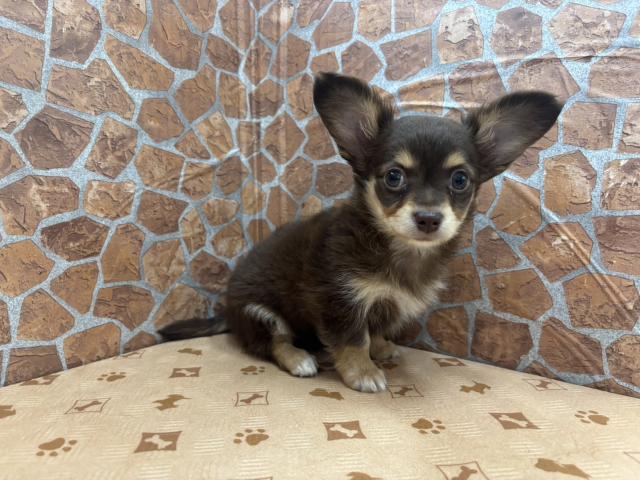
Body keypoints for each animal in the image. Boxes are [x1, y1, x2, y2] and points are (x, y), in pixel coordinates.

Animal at [160, 72, 562, 393]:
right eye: (393, 176)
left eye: (461, 180)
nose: (428, 218)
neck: (398, 251)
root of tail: (227, 314)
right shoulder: (339, 300)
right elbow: (353, 339)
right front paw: (363, 372)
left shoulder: (385, 304)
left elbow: (377, 329)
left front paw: (380, 349)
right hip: (259, 313)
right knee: (273, 343)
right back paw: (301, 359)